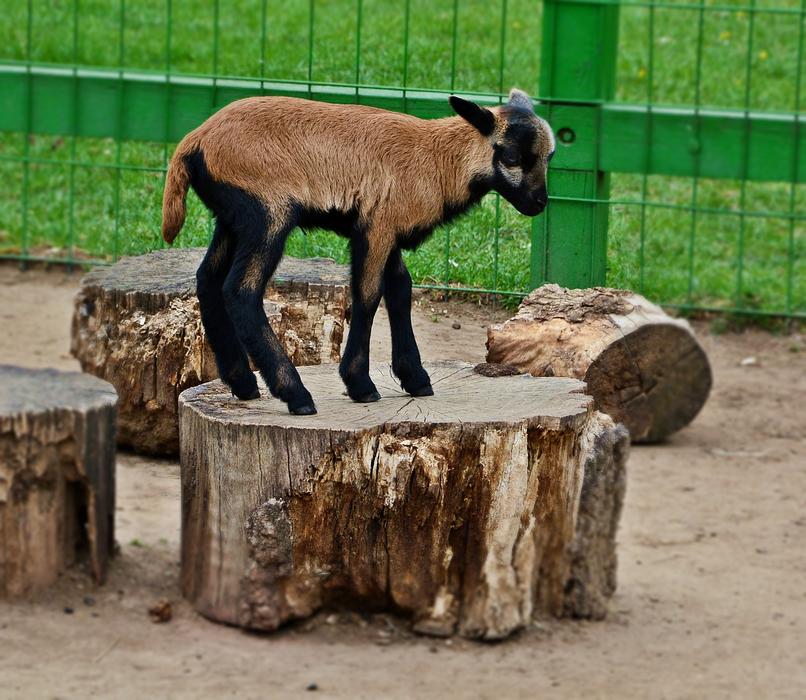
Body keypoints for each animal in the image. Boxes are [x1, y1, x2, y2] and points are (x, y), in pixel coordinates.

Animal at [161, 88, 555, 415]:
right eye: (512, 157)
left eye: (549, 156)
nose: (540, 203)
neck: (438, 160)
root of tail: (194, 141)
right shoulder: (377, 225)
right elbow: (368, 295)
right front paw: (361, 384)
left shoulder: (386, 228)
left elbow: (400, 290)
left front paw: (415, 378)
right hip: (266, 213)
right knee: (240, 291)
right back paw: (296, 395)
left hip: (232, 219)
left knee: (207, 280)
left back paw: (243, 384)